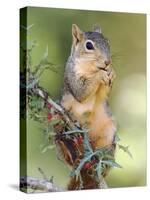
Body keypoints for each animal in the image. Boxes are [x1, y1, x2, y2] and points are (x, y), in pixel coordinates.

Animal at [59, 24, 116, 190]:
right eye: (89, 45)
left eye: (108, 42)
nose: (107, 62)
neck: (91, 68)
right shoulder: (71, 76)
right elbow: (81, 92)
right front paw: (100, 75)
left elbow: (103, 94)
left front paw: (112, 72)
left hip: (108, 135)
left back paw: (101, 164)